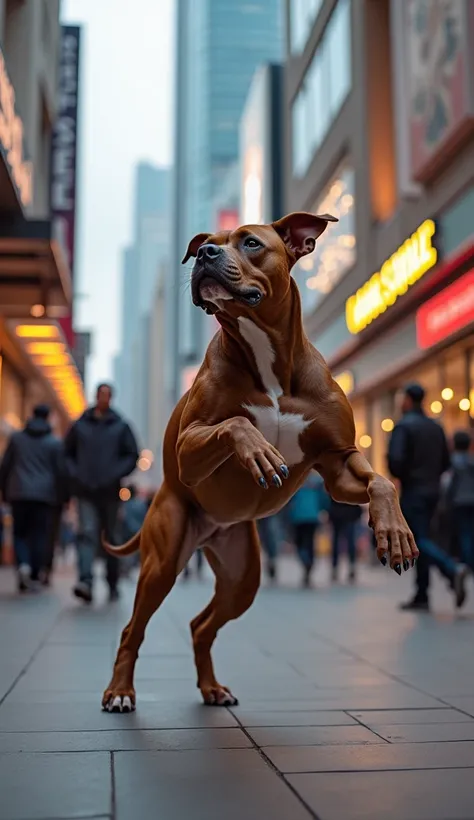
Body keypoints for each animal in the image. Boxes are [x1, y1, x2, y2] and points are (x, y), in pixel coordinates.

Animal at [101, 211, 418, 712]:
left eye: (251, 242)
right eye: (206, 244)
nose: (205, 253)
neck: (266, 356)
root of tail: (209, 531)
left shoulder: (337, 463)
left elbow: (380, 481)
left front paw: (395, 533)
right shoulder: (188, 453)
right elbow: (236, 425)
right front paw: (261, 453)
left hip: (242, 578)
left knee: (201, 625)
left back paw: (211, 687)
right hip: (162, 561)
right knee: (134, 628)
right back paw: (119, 692)